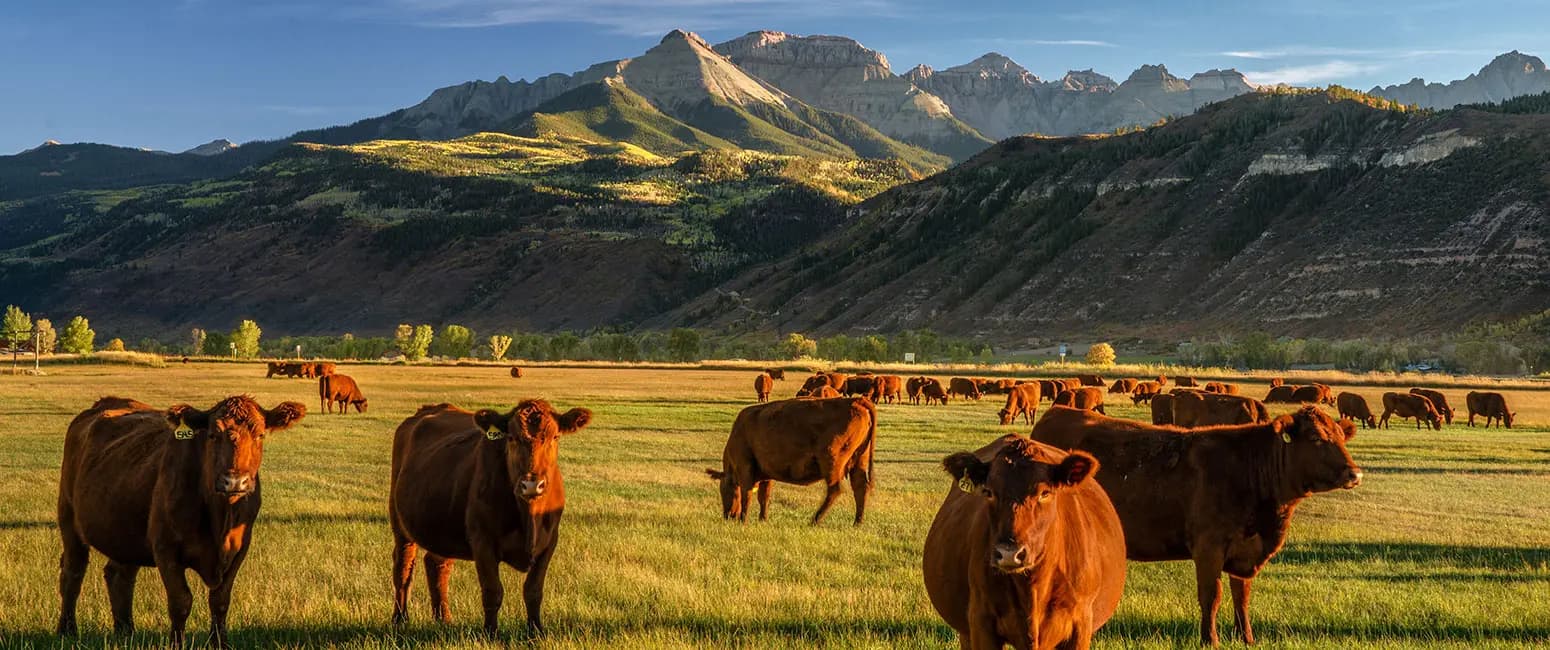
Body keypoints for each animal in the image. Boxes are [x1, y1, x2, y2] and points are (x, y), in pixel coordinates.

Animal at [57, 396, 305, 648]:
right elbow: (181, 601)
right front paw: (177, 644)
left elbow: (220, 600)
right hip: (68, 519)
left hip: (125, 533)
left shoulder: (239, 550)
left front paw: (220, 643)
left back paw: (126, 632)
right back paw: (67, 630)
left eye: (260, 435)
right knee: (73, 573)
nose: (234, 481)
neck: (220, 519)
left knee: (119, 576)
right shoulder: (166, 550)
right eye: (213, 435)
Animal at [390, 401, 592, 636]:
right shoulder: (482, 542)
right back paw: (400, 619)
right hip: (400, 526)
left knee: (437, 565)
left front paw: (535, 631)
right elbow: (492, 591)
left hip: (441, 526)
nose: (532, 484)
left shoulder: (549, 542)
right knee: (403, 568)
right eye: (511, 437)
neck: (528, 517)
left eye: (555, 437)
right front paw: (490, 633)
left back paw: (444, 619)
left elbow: (533, 590)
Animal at [706, 397, 876, 525]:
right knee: (860, 488)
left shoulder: (745, 468)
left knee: (835, 489)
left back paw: (814, 520)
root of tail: (856, 401)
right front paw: (762, 519)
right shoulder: (766, 474)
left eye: (724, 490)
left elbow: (746, 495)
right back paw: (857, 522)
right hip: (859, 461)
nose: (728, 515)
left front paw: (743, 520)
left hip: (831, 461)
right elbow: (764, 497)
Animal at [925, 436, 1126, 650]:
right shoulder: (981, 621)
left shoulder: (1081, 624)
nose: (1009, 553)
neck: (1032, 588)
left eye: (1045, 493)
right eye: (989, 492)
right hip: (966, 631)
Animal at [1031, 406, 1361, 646]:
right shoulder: (1208, 547)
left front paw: (1247, 638)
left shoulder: (1243, 549)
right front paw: (1210, 640)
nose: (1355, 473)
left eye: (1340, 437)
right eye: (1316, 438)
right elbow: (1211, 596)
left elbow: (1242, 597)